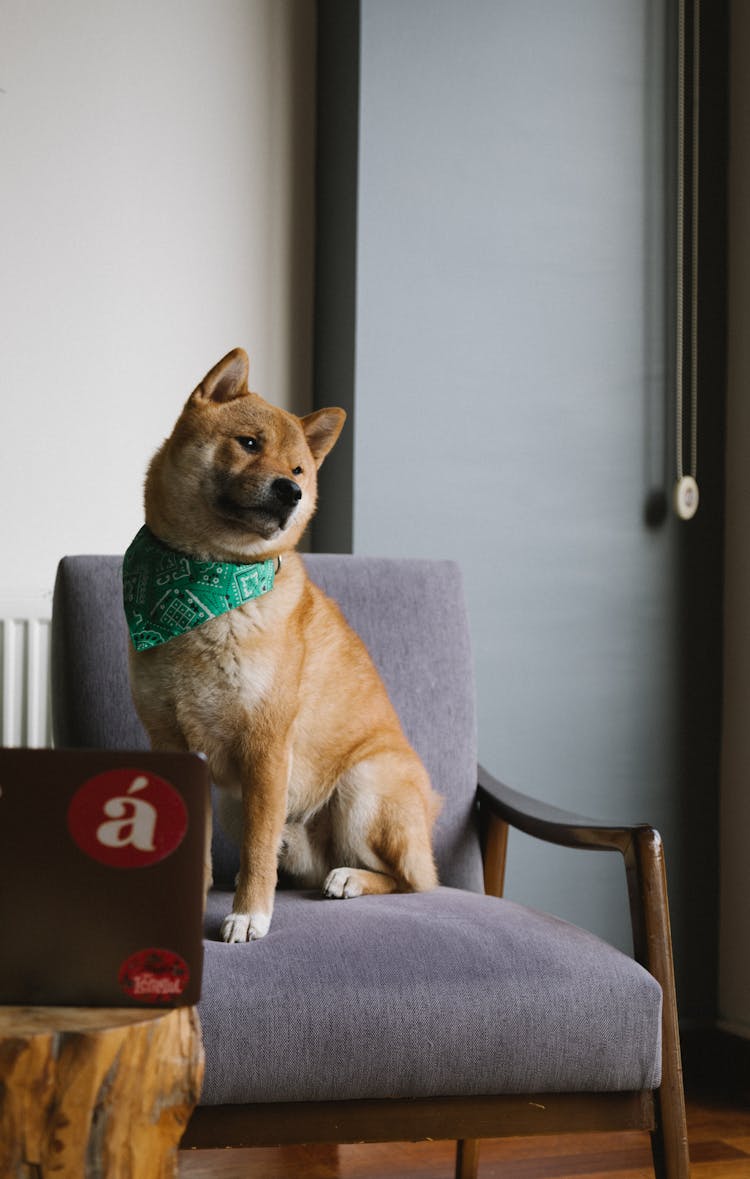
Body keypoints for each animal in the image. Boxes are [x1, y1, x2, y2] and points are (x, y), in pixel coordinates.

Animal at [123, 346, 438, 938]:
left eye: (298, 471)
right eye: (249, 443)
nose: (291, 492)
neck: (209, 581)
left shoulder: (267, 746)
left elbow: (254, 853)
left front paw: (248, 915)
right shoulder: (172, 742)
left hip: (364, 785)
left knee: (413, 881)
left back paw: (352, 878)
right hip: (238, 803)